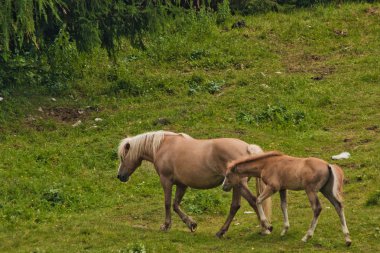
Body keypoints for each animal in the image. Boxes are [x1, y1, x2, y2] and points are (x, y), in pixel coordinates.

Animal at [117, 130, 272, 237]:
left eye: (123, 157)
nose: (120, 176)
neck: (163, 146)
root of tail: (247, 148)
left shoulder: (166, 180)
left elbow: (167, 203)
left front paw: (166, 226)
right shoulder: (181, 184)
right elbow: (175, 205)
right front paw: (191, 224)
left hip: (239, 185)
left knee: (254, 201)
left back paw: (265, 228)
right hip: (236, 186)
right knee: (235, 206)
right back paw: (222, 232)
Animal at [221, 151, 352, 246]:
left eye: (227, 175)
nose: (224, 187)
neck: (266, 164)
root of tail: (328, 165)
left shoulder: (273, 187)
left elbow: (258, 200)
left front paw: (269, 226)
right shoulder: (283, 189)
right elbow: (283, 206)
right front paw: (284, 229)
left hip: (310, 190)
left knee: (317, 208)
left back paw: (306, 237)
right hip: (326, 190)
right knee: (338, 206)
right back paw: (347, 239)